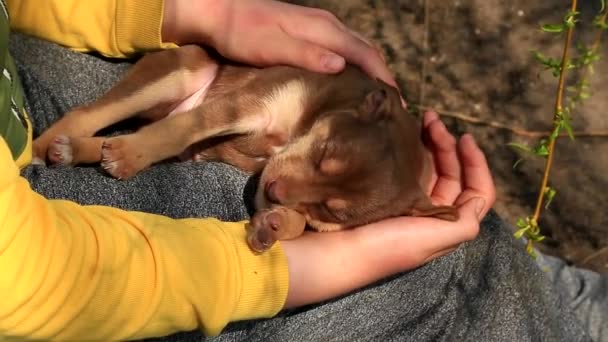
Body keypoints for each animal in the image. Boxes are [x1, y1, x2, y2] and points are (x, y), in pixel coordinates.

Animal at [33, 44, 458, 252]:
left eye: (331, 212)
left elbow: (297, 221)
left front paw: (277, 223)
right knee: (91, 115)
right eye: (323, 153)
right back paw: (45, 149)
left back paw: (74, 150)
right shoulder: (244, 105)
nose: (274, 191)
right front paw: (127, 157)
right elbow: (182, 129)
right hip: (179, 74)